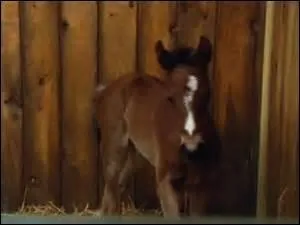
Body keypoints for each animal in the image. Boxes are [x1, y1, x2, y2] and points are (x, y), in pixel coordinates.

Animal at [95, 36, 221, 217]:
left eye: (208, 93)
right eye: (170, 97)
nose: (191, 142)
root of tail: (106, 89)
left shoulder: (201, 185)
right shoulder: (166, 181)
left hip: (136, 155)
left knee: (116, 186)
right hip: (114, 146)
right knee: (112, 189)